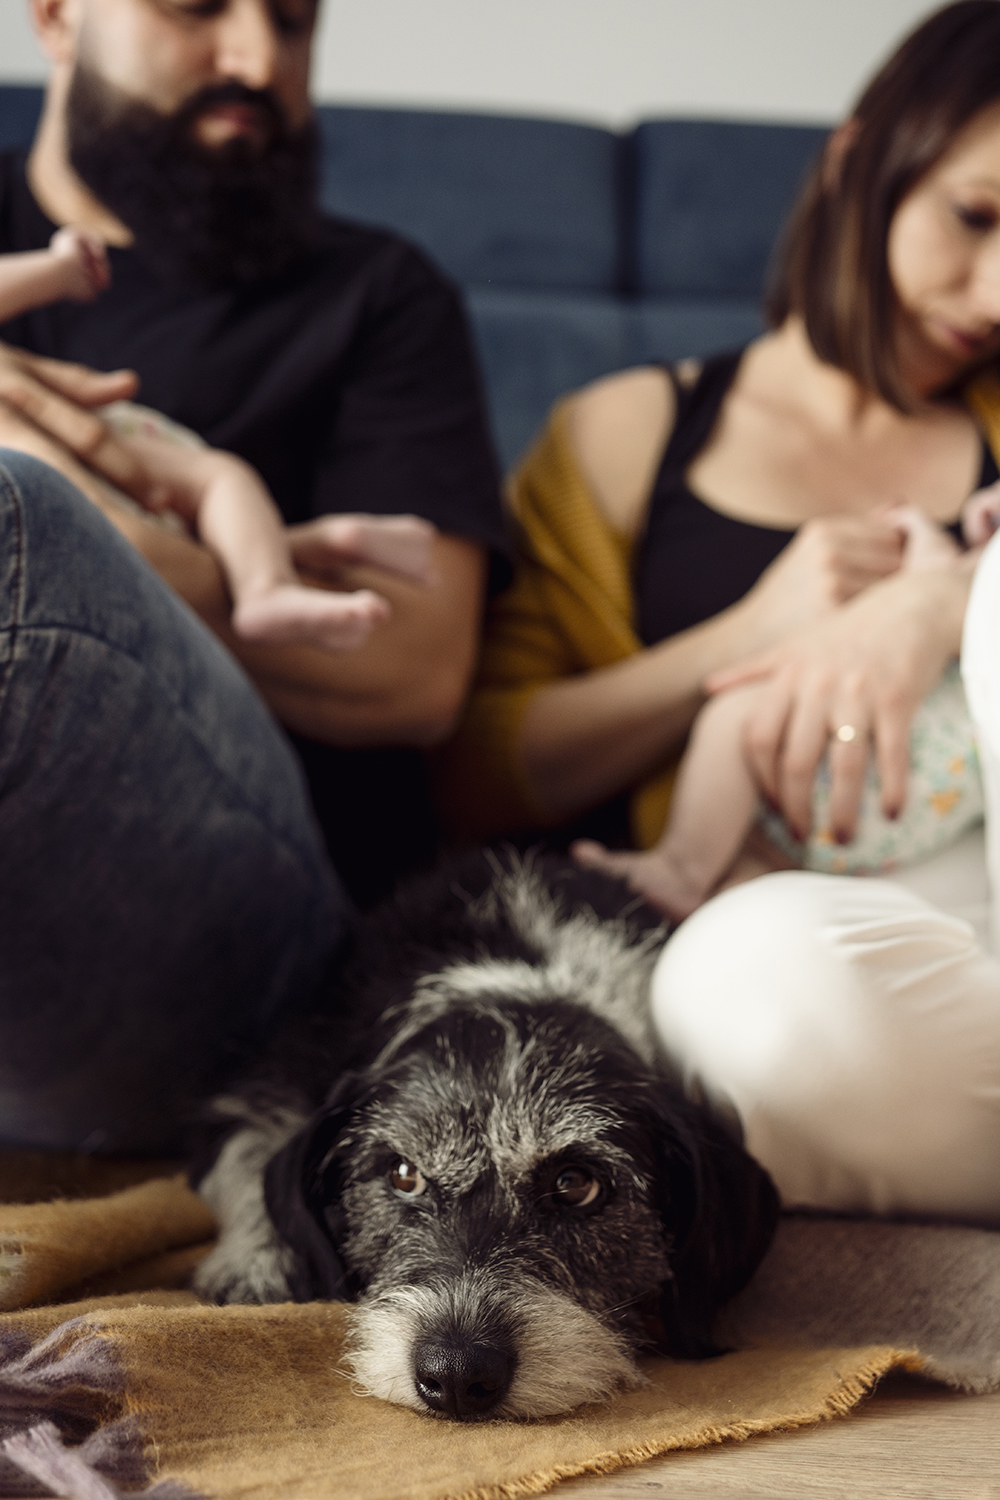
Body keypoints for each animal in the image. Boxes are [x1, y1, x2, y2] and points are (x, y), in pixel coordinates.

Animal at [191, 852, 779, 1422]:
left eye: (576, 1184)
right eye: (403, 1174)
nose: (455, 1374)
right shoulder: (279, 1074)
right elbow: (247, 1148)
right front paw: (254, 1265)